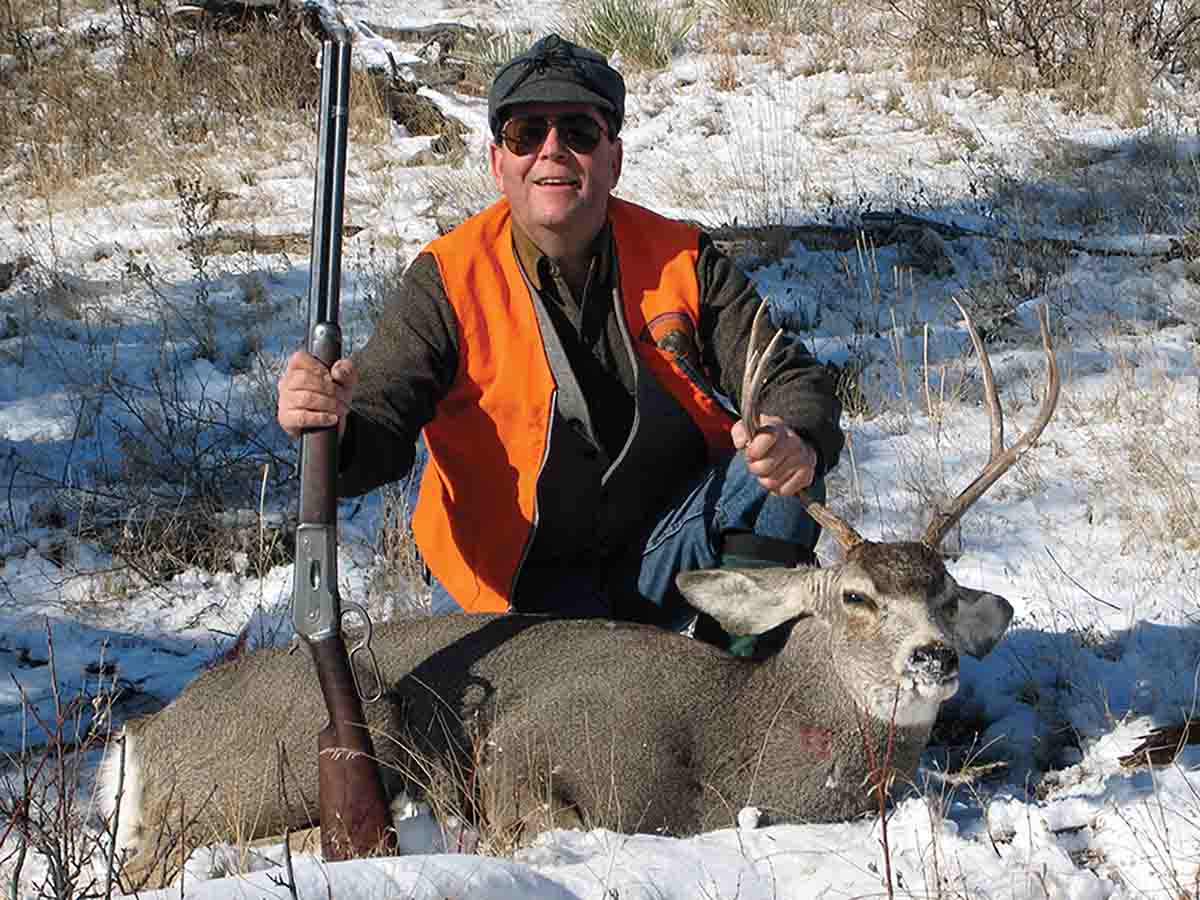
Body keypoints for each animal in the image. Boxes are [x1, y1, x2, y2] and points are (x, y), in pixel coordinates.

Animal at [100, 300, 1060, 878]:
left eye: (946, 596)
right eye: (857, 598)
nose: (933, 659)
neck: (740, 747)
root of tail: (145, 738)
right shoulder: (532, 742)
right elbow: (530, 822)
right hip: (320, 735)